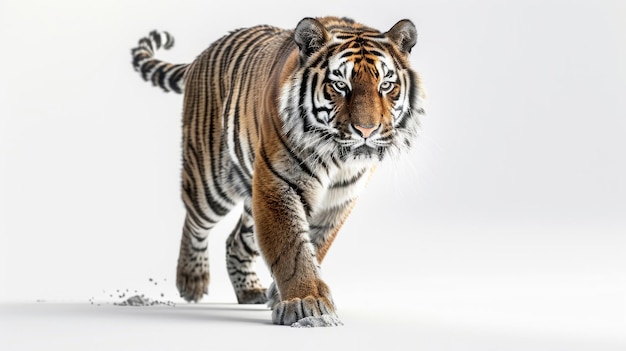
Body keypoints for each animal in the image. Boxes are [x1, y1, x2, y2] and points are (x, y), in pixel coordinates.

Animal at [130, 16, 424, 328]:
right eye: (340, 85)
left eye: (386, 85)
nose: (367, 131)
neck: (337, 158)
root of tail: (201, 55)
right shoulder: (278, 184)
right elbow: (292, 248)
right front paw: (307, 303)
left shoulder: (338, 200)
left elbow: (316, 245)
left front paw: (284, 296)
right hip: (211, 181)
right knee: (194, 222)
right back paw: (192, 280)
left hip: (249, 195)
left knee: (235, 241)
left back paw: (249, 291)